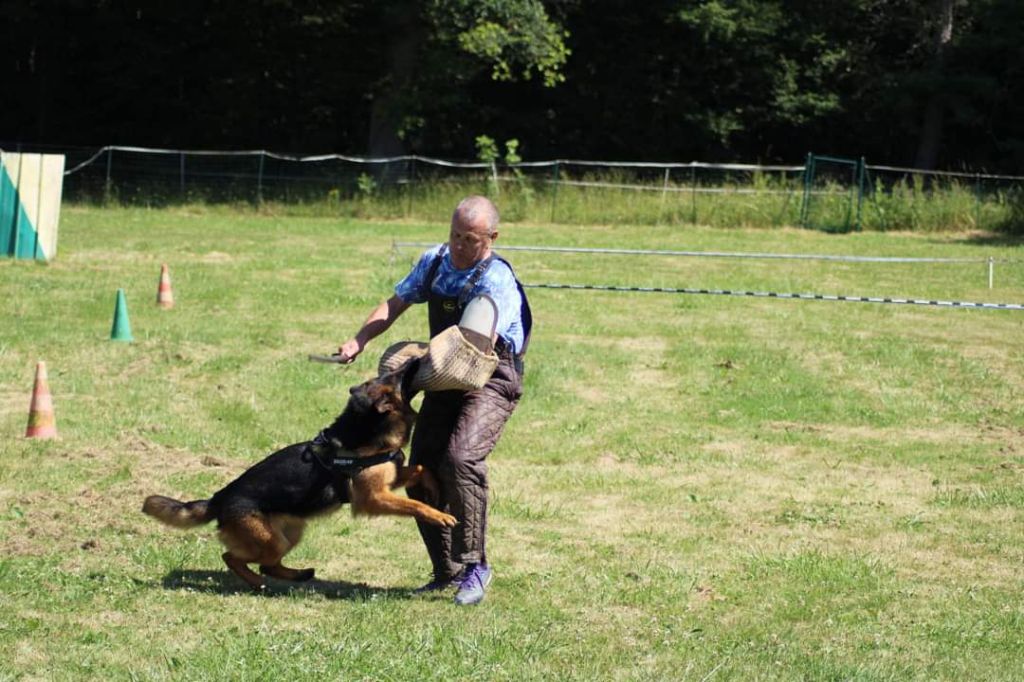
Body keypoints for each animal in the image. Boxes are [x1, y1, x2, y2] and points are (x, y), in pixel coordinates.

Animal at [142, 360, 454, 589]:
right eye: (397, 376)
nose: (416, 359)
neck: (366, 428)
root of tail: (218, 499)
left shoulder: (390, 479)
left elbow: (421, 469)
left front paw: (435, 489)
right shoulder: (373, 498)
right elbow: (414, 505)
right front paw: (438, 515)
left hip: (291, 533)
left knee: (267, 564)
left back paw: (298, 574)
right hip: (271, 540)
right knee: (232, 557)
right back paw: (258, 581)